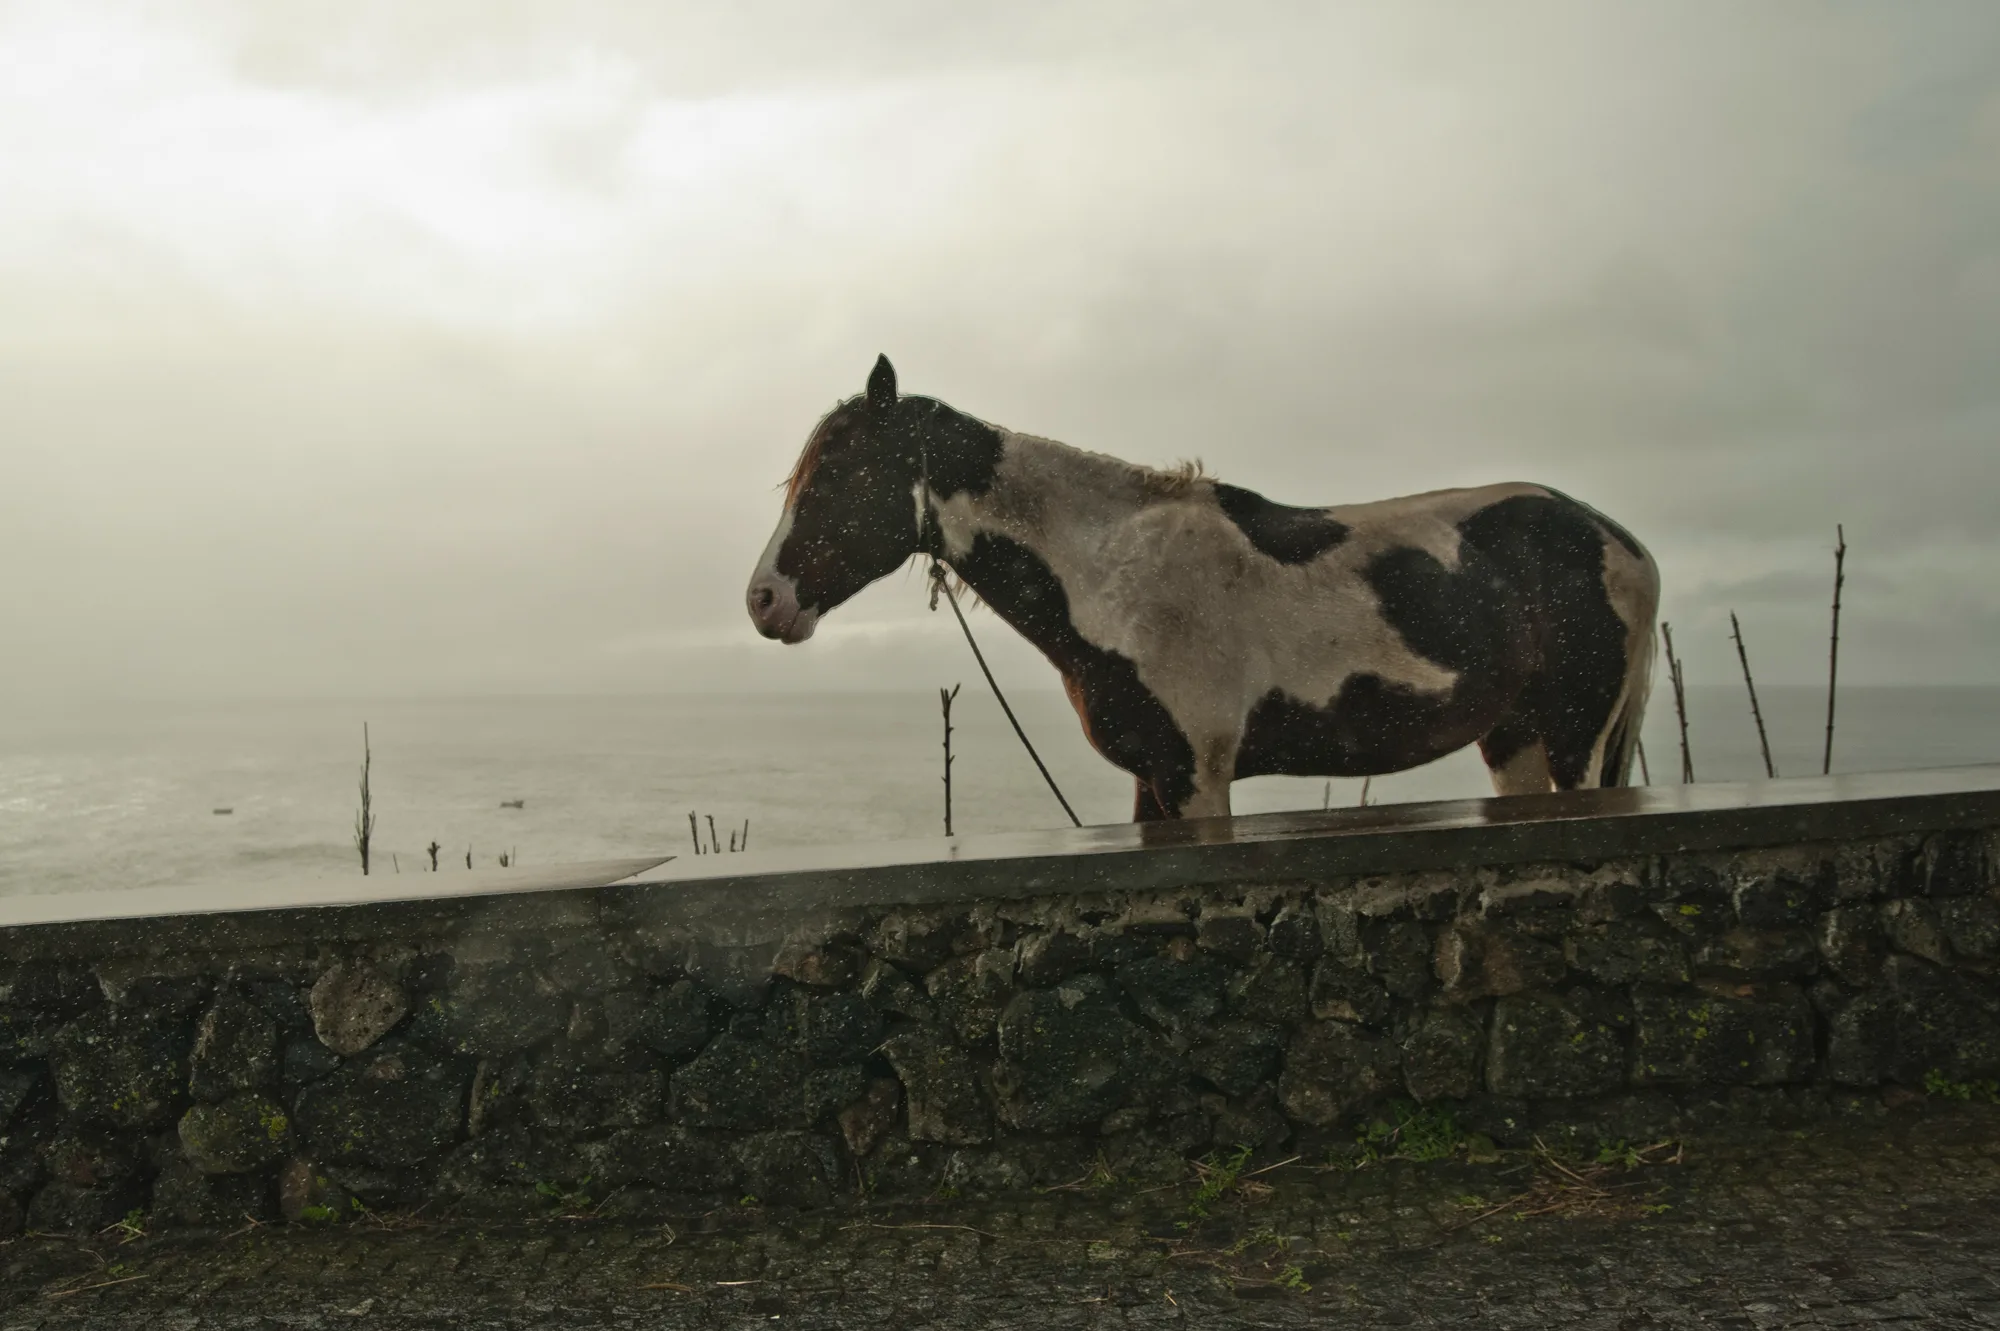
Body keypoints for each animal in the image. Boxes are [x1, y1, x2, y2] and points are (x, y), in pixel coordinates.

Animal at [747, 355, 1660, 822]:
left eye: (837, 471)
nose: (763, 600)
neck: (1117, 574)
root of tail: (1621, 540)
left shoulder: (1198, 776)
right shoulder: (1152, 778)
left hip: (1576, 739)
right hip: (1516, 738)